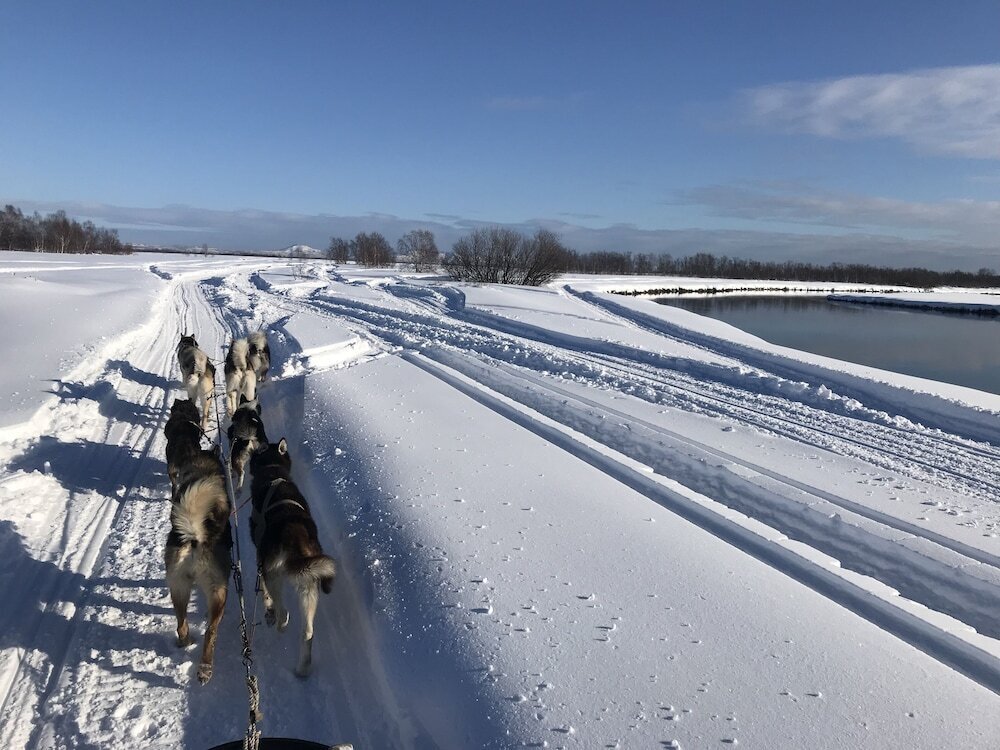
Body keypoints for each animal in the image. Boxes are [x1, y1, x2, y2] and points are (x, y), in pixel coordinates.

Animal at [166, 440, 232, 688]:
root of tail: (195, 538)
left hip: (179, 587)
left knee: (181, 623)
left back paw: (185, 642)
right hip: (218, 592)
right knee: (210, 632)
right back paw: (205, 669)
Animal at [249, 438, 336, 680]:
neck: (273, 472)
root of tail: (295, 536)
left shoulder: (261, 560)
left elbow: (264, 592)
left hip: (275, 574)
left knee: (283, 611)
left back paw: (278, 622)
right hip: (309, 586)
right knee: (307, 632)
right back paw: (302, 669)